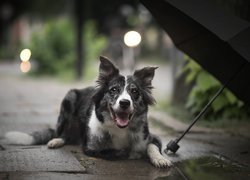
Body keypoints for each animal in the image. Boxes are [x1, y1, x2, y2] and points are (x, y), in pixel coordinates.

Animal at [4, 56, 172, 167]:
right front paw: (132, 153)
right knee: (62, 133)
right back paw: (56, 140)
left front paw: (161, 159)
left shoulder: (152, 137)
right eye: (114, 90)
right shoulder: (91, 148)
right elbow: (117, 152)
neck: (120, 129)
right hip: (69, 98)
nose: (124, 103)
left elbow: (152, 146)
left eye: (135, 92)